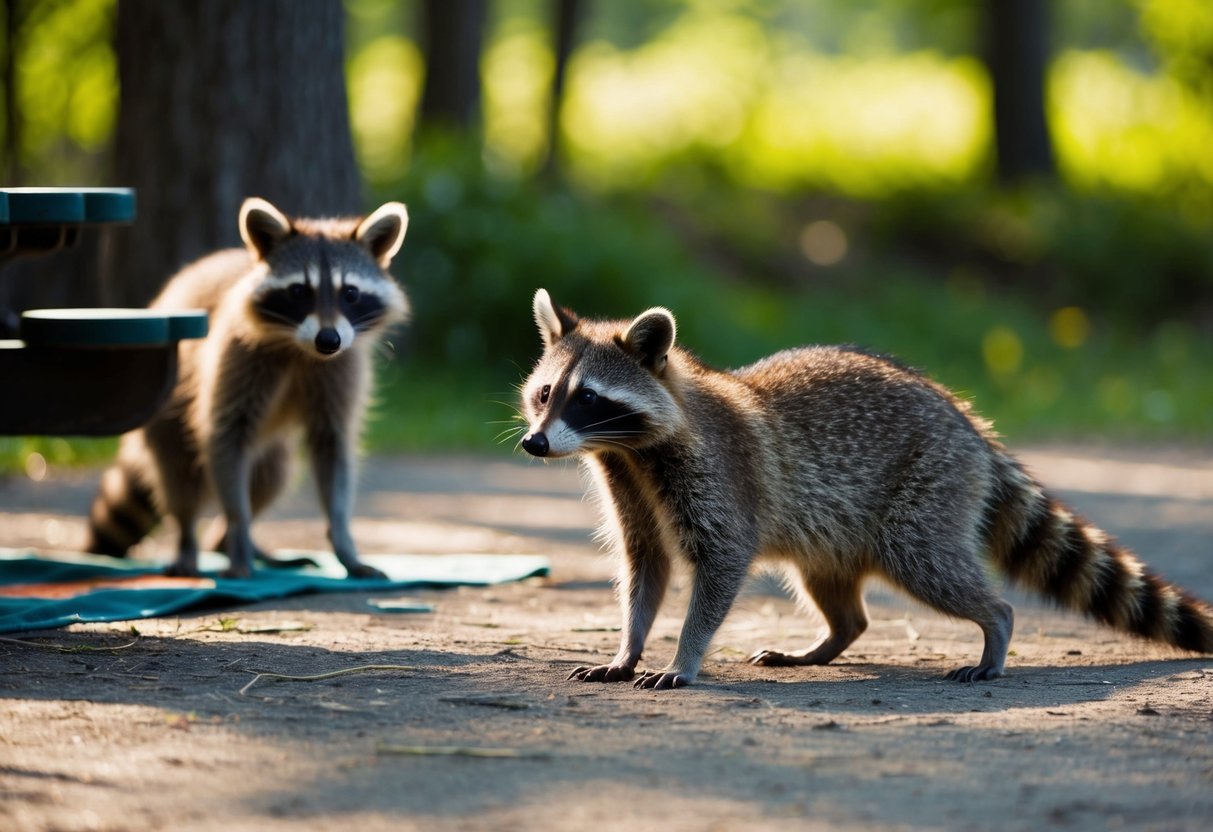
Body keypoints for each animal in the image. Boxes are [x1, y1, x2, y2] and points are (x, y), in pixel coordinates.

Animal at [85, 197, 409, 578]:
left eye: (351, 293)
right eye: (298, 291)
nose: (328, 339)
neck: (300, 348)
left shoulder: (339, 367)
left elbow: (333, 449)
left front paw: (343, 541)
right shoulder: (236, 353)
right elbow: (225, 437)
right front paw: (238, 529)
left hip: (270, 448)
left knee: (272, 475)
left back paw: (230, 543)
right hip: (165, 410)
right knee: (179, 477)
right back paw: (192, 540)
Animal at [519, 289, 1213, 689]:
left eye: (589, 399)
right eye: (547, 393)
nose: (534, 444)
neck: (629, 451)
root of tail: (969, 423)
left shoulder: (719, 476)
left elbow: (721, 565)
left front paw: (683, 657)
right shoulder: (630, 486)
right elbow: (646, 568)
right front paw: (628, 646)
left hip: (927, 488)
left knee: (929, 564)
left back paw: (995, 625)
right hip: (835, 530)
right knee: (836, 594)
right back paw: (831, 639)